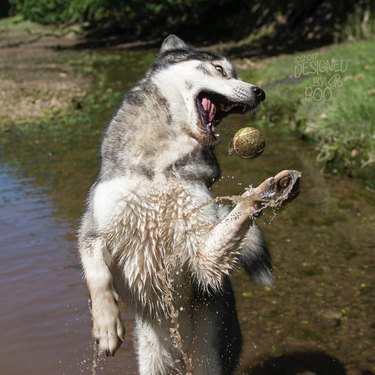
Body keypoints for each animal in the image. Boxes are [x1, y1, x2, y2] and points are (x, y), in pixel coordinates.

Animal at [79, 35, 280, 375]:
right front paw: (106, 325)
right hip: (151, 360)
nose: (259, 92)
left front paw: (261, 193)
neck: (162, 168)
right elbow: (97, 273)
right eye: (219, 70)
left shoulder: (202, 253)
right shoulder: (93, 229)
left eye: (236, 73)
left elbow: (224, 232)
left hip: (208, 360)